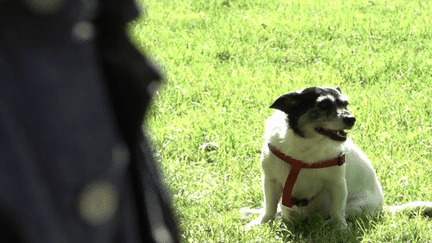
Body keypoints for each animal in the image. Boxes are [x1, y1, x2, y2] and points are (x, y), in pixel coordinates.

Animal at [246, 87, 432, 230]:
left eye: (345, 104)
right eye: (323, 105)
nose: (351, 119)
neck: (306, 149)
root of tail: (382, 208)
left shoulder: (337, 184)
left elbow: (337, 211)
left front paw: (340, 229)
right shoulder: (270, 182)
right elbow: (269, 208)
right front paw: (262, 222)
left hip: (357, 206)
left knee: (339, 212)